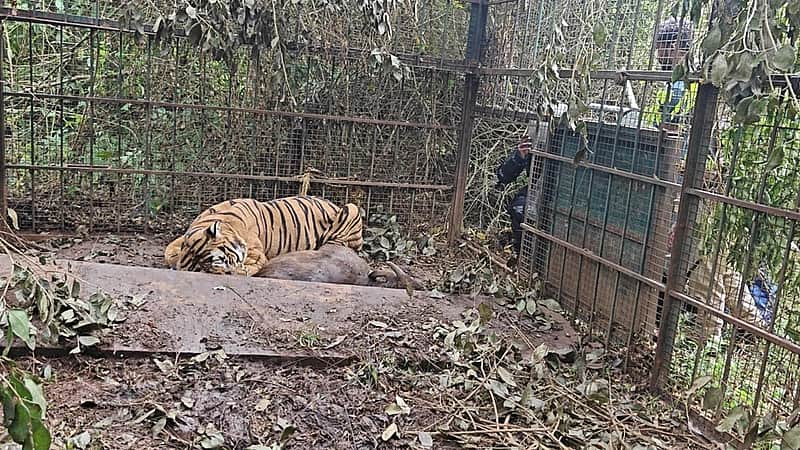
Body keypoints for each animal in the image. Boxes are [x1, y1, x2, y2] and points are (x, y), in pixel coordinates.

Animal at [164, 195, 363, 276]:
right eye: (204, 270)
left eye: (220, 261)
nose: (227, 273)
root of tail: (333, 204)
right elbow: (168, 251)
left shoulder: (256, 256)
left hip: (351, 208)